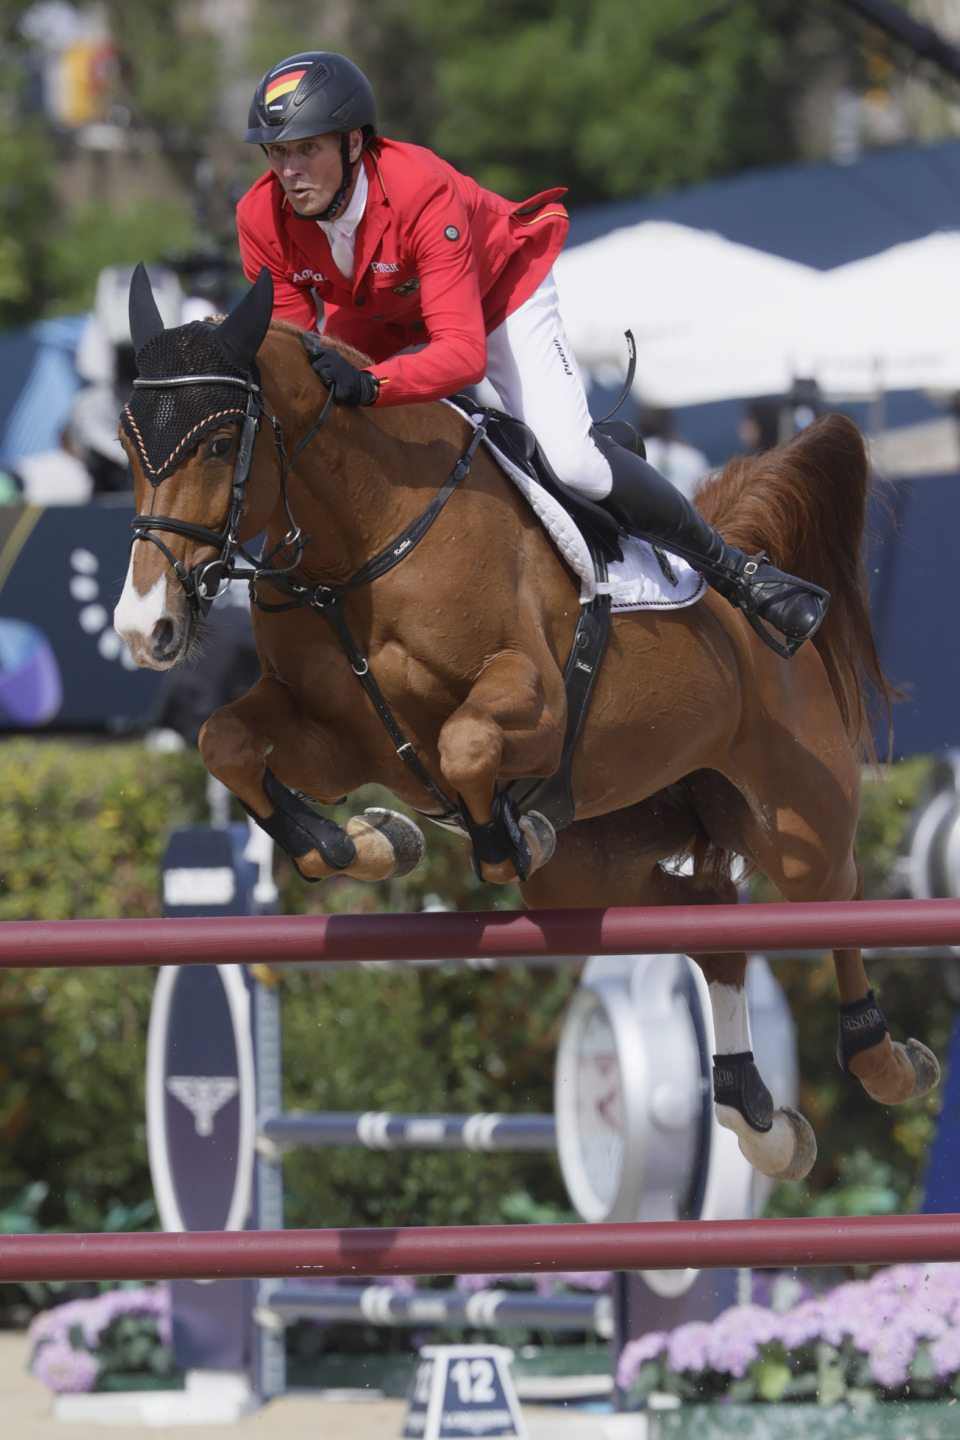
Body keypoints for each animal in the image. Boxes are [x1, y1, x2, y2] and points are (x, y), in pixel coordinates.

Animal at [114, 267, 938, 1180]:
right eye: (125, 443)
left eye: (221, 443)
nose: (144, 628)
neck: (356, 545)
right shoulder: (337, 740)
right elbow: (226, 742)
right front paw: (364, 842)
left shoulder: (537, 703)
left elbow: (466, 743)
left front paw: (493, 834)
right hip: (598, 865)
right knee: (714, 916)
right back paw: (761, 1120)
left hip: (795, 817)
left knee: (837, 897)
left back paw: (885, 1062)